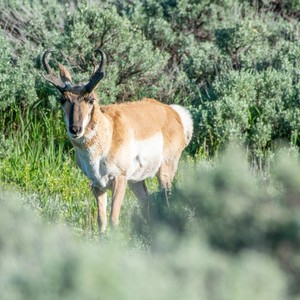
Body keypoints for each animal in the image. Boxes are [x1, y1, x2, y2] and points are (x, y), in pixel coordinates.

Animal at [41, 49, 192, 233]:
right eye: (63, 100)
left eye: (91, 99)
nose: (75, 129)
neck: (108, 133)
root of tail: (173, 112)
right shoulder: (97, 185)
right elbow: (101, 220)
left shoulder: (119, 180)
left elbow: (114, 219)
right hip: (136, 181)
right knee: (148, 204)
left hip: (164, 173)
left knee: (166, 201)